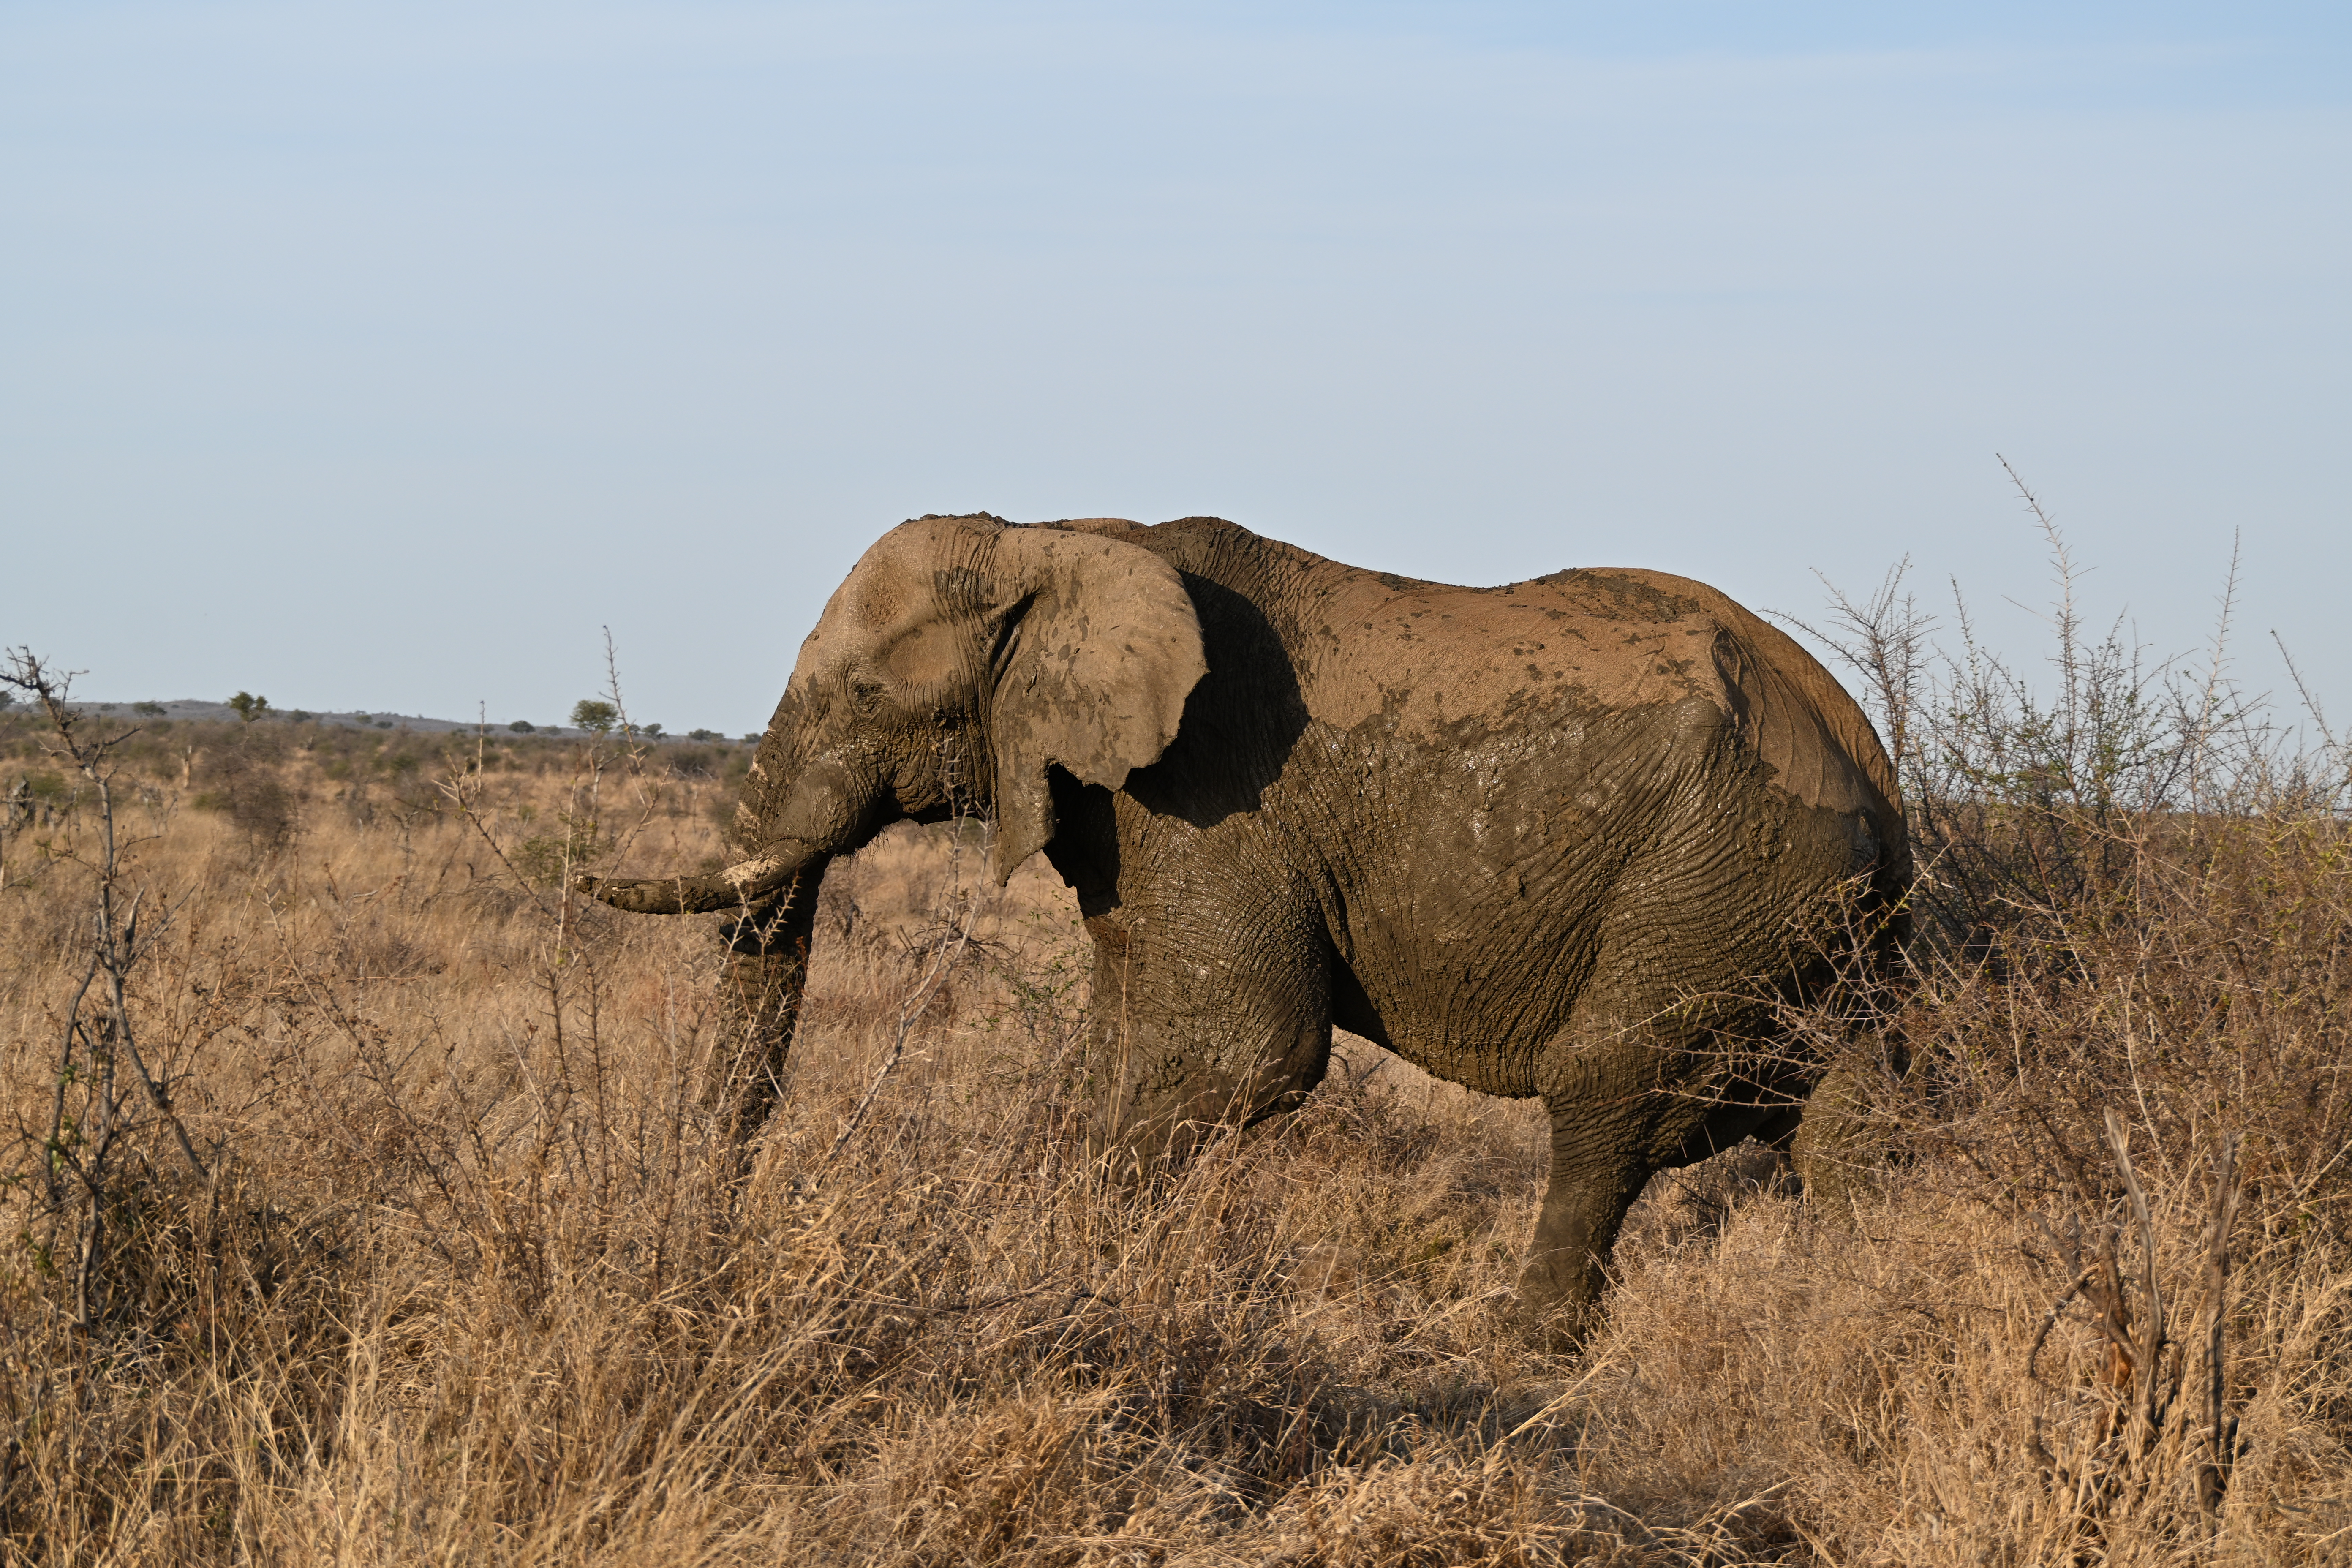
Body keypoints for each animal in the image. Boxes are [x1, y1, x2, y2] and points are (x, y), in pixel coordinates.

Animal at [582, 512, 1909, 1336]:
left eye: (864, 692)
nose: (711, 1249)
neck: (1055, 537)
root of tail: (1877, 772)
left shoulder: (1212, 789)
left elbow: (1246, 1048)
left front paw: (1060, 1271)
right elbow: (1125, 1036)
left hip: (1719, 875)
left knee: (1602, 1088)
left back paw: (1512, 1351)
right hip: (1811, 919)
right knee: (1848, 1125)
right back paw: (1859, 1309)